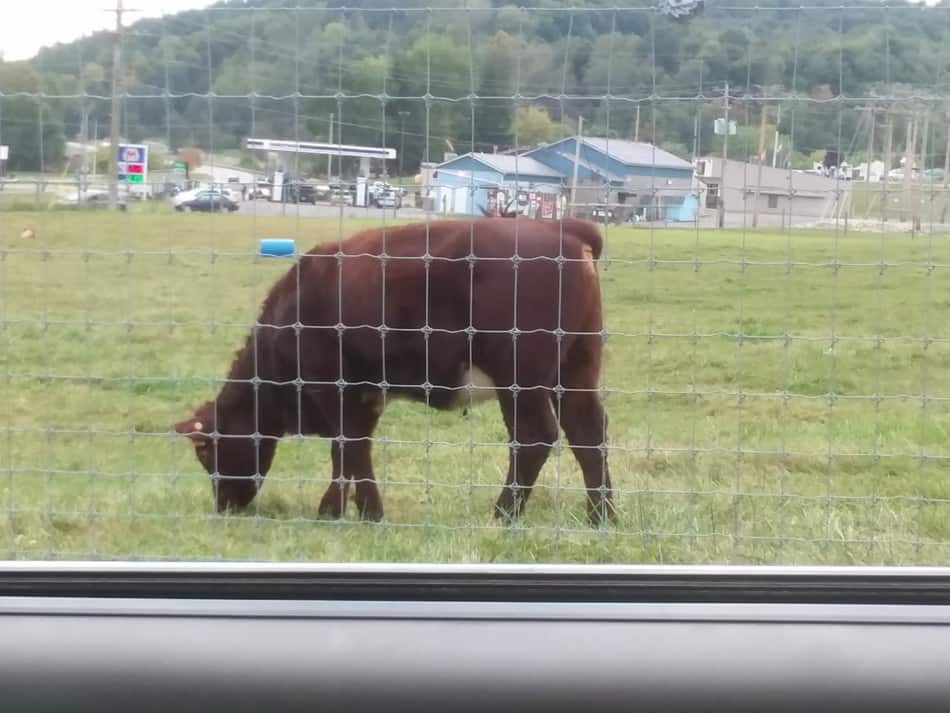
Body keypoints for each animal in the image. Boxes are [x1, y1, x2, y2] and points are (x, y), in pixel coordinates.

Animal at [174, 216, 612, 524]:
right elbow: (347, 451)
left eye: (204, 449)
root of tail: (560, 227)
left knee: (534, 437)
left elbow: (350, 446)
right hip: (576, 367)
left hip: (519, 375)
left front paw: (368, 513)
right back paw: (602, 515)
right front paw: (335, 509)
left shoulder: (328, 383)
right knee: (588, 433)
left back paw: (503, 514)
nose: (223, 505)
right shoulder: (363, 394)